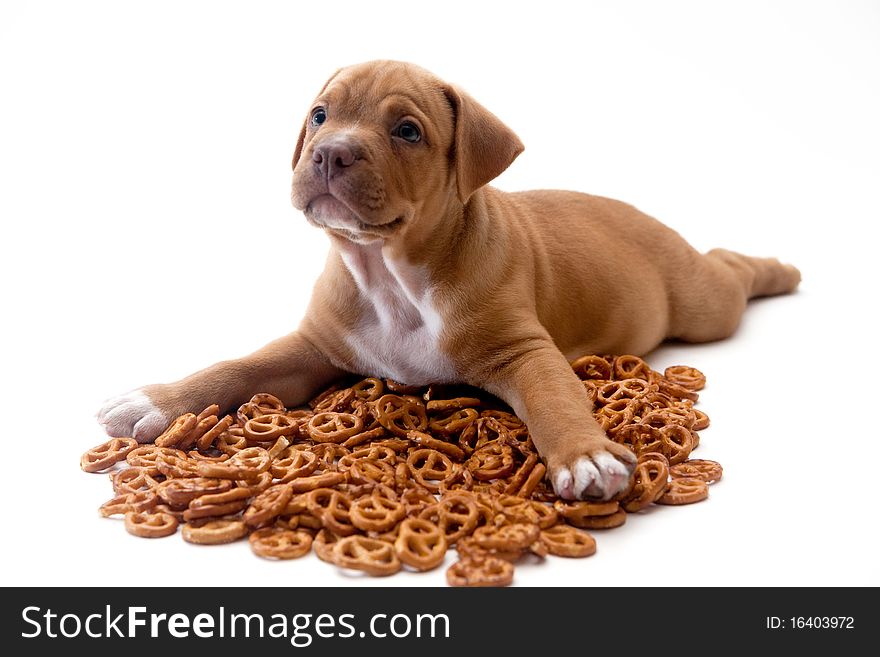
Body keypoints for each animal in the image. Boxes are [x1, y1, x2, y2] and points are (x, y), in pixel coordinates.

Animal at [96, 62, 796, 502]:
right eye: (319, 115)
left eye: (407, 131)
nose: (328, 152)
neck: (389, 274)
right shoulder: (313, 349)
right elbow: (236, 368)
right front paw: (156, 400)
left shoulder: (525, 353)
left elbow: (555, 399)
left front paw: (586, 455)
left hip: (703, 307)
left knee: (729, 272)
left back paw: (779, 270)